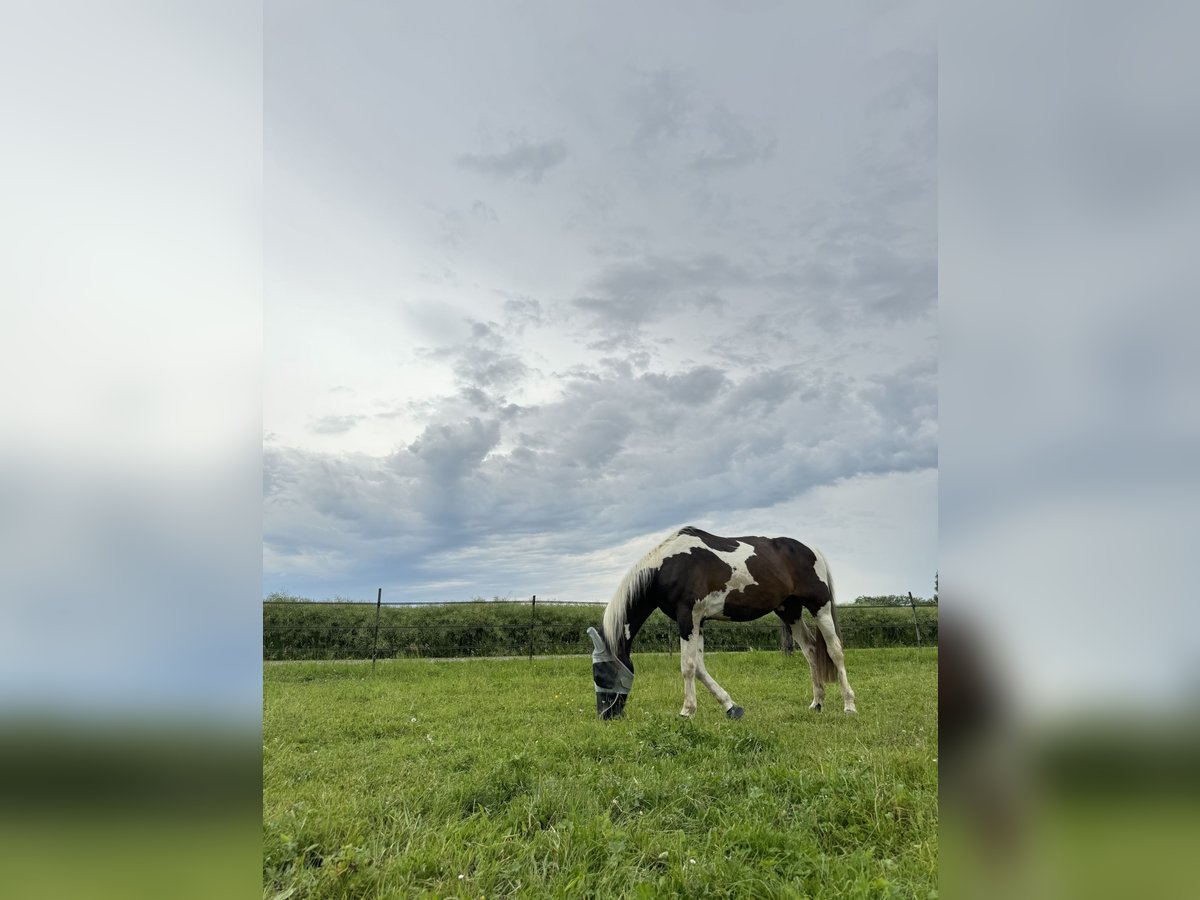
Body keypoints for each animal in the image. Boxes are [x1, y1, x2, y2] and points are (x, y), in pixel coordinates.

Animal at [588, 525, 854, 724]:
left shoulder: (688, 618)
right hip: (790, 612)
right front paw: (731, 707)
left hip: (820, 607)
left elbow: (688, 666)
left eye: (599, 673)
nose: (606, 715)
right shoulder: (699, 622)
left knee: (835, 651)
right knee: (810, 651)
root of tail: (812, 550)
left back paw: (849, 705)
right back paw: (817, 703)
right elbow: (700, 668)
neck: (669, 565)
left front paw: (687, 711)